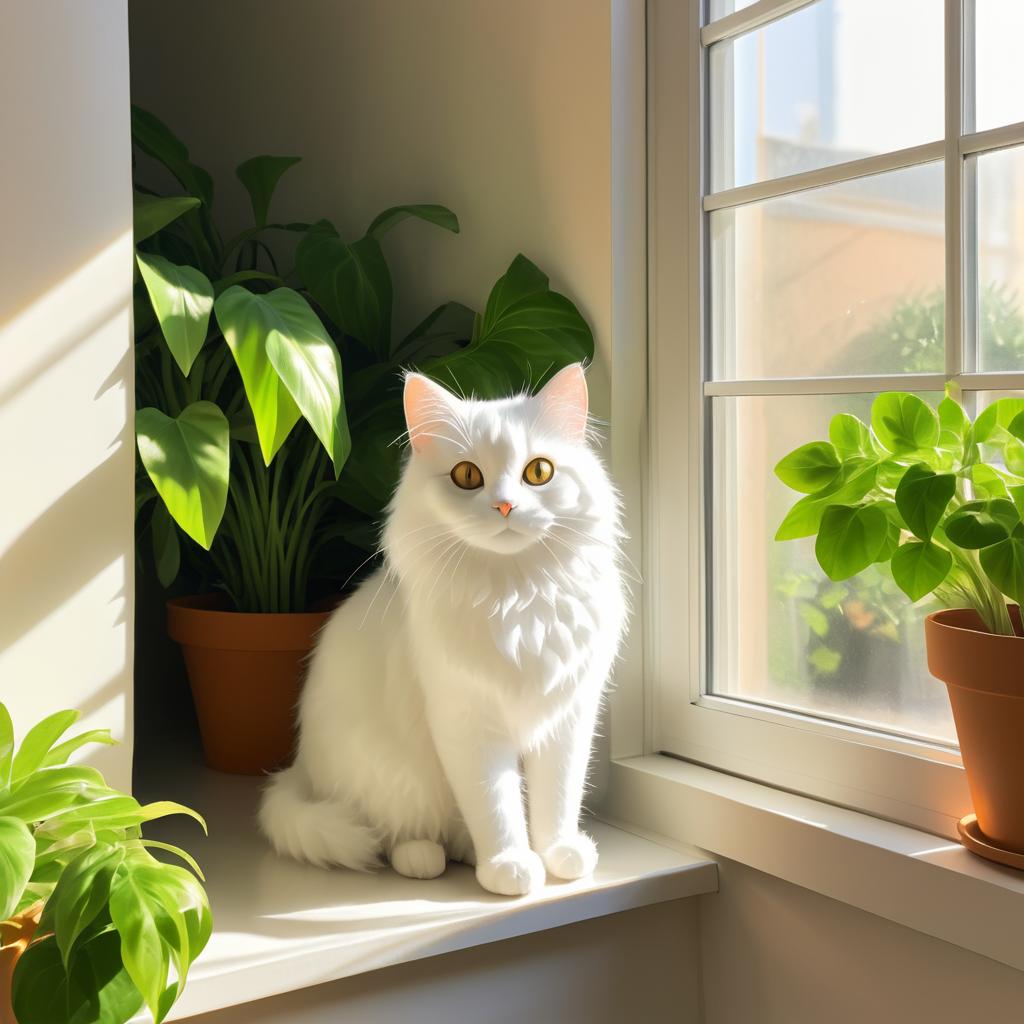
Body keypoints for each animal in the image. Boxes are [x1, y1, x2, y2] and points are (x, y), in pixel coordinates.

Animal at [258, 364, 622, 892]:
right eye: (467, 477)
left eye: (539, 472)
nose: (505, 506)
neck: (518, 598)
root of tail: (301, 767)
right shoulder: (467, 721)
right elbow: (495, 804)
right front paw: (510, 867)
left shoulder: (568, 719)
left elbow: (558, 797)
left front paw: (558, 855)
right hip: (393, 779)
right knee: (400, 836)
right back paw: (427, 857)